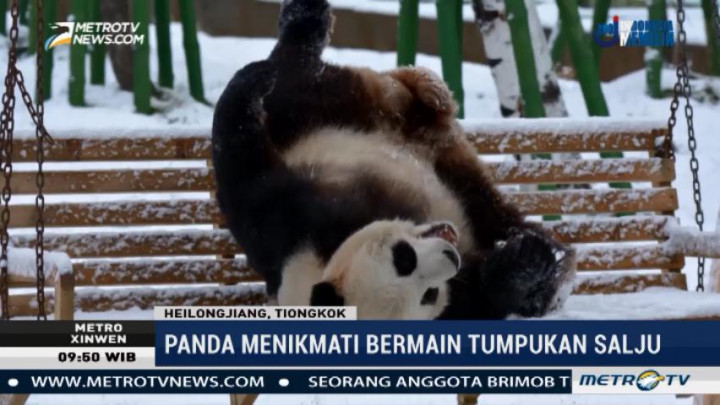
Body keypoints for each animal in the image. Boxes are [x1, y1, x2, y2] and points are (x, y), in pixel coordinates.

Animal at [211, 0, 576, 319]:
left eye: (404, 256)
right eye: (427, 293)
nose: (450, 253)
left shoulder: (291, 221)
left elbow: (245, 176)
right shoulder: (457, 303)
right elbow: (488, 296)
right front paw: (526, 265)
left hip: (329, 112)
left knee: (297, 75)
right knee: (491, 213)